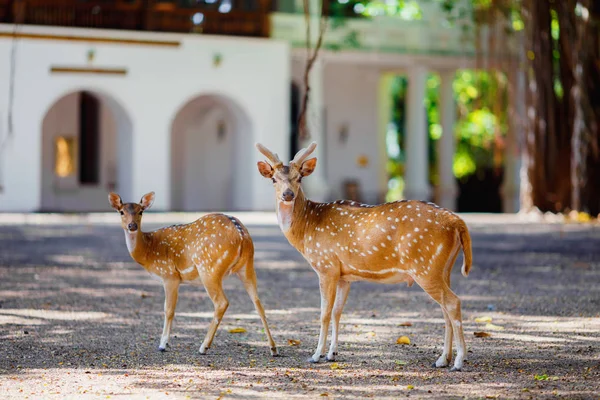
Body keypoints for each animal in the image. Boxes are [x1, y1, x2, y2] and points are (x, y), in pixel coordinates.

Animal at [109, 191, 278, 356]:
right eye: (121, 211)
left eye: (141, 211)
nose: (132, 226)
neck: (148, 251)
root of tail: (241, 235)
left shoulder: (169, 275)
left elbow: (169, 310)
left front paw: (163, 345)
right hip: (247, 265)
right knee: (258, 303)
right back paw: (273, 349)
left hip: (209, 268)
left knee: (222, 302)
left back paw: (204, 347)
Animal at [255, 142, 472, 370]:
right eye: (273, 178)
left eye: (299, 178)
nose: (288, 194)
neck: (306, 230)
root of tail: (457, 222)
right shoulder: (344, 275)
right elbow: (337, 312)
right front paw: (332, 353)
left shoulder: (326, 266)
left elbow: (324, 313)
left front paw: (316, 355)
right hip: (443, 268)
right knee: (445, 309)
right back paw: (442, 359)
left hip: (425, 266)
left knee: (453, 303)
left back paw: (458, 360)